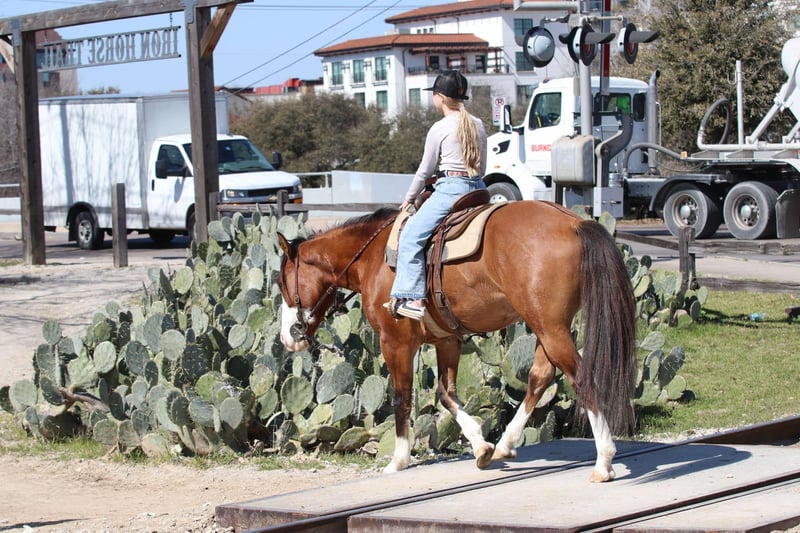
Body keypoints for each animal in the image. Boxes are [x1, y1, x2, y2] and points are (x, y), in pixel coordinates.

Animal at [276, 200, 637, 482]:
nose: (287, 337)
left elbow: (401, 398)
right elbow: (446, 394)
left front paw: (398, 460)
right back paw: (505, 445)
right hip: (549, 327)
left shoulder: (394, 342)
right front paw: (481, 445)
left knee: (582, 379)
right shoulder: (447, 340)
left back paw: (604, 461)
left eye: (280, 282)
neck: (374, 258)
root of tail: (575, 222)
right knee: (540, 377)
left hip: (550, 328)